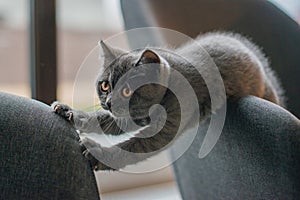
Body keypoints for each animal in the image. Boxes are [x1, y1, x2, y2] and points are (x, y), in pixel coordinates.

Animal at [52, 31, 284, 170]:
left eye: (126, 91)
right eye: (105, 86)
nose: (108, 102)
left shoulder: (166, 129)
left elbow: (133, 147)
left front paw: (98, 153)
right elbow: (102, 120)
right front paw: (69, 112)